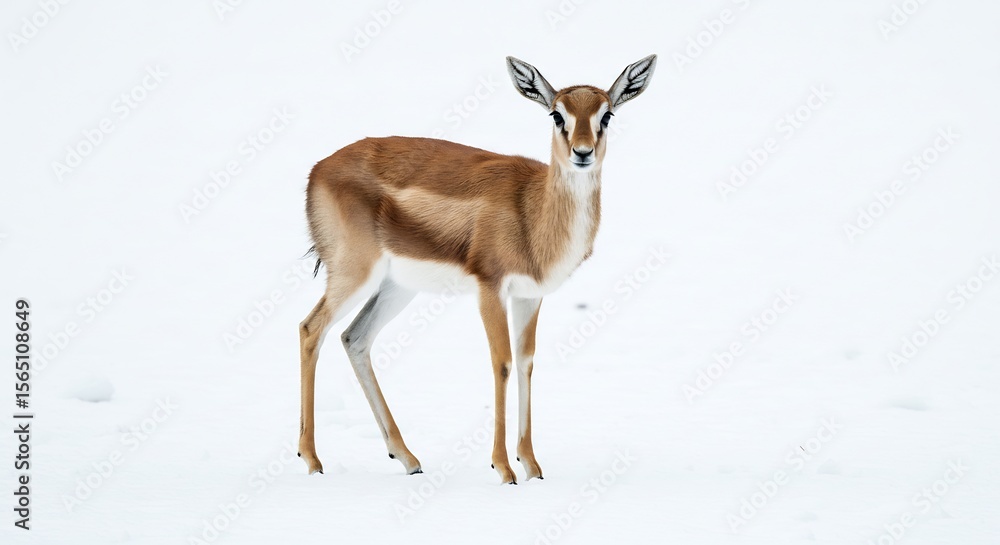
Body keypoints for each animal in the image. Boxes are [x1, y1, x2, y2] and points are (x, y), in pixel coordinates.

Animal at [297, 54, 657, 484]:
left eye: (607, 114)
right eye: (557, 114)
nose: (582, 152)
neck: (532, 210)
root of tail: (317, 170)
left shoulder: (529, 296)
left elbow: (525, 363)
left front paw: (532, 466)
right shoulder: (490, 288)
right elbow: (501, 363)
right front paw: (503, 468)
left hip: (397, 287)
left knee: (354, 338)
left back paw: (407, 458)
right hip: (354, 272)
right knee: (310, 329)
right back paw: (312, 460)